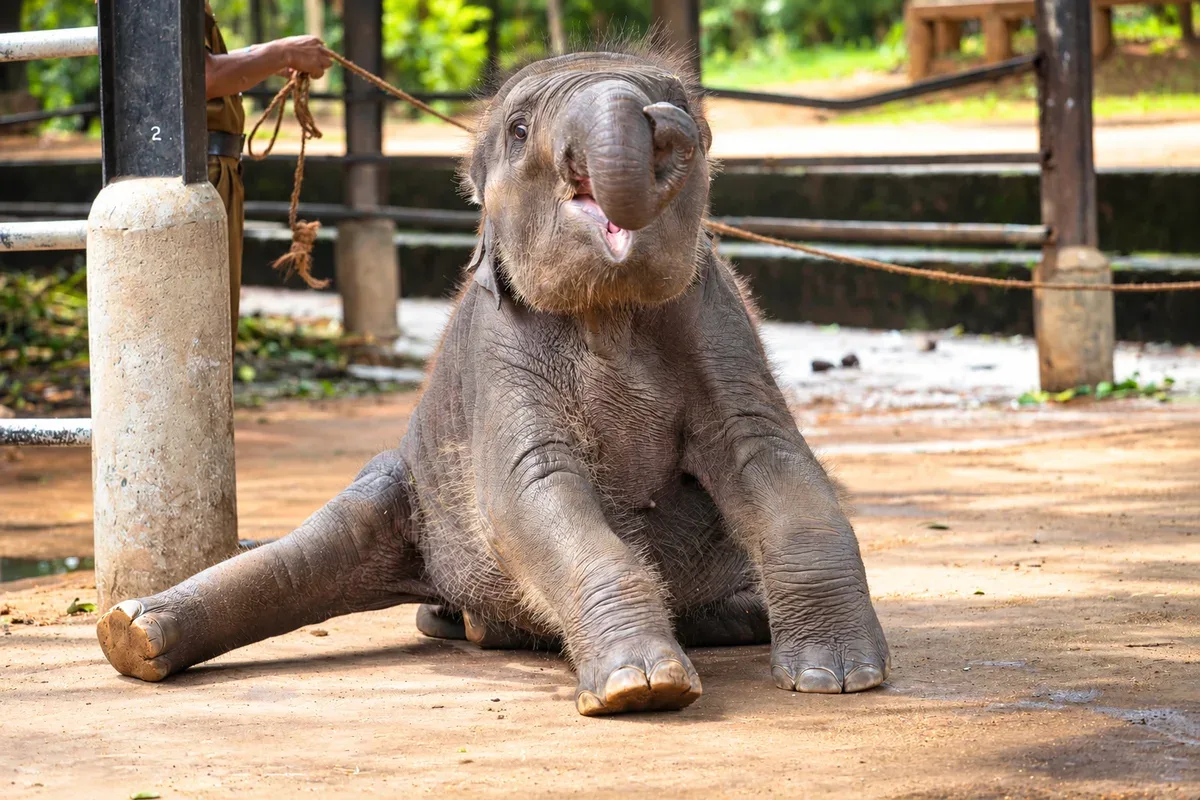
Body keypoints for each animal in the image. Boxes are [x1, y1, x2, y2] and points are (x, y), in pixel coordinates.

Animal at [97, 44, 890, 717]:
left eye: (686, 110)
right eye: (518, 129)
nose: (662, 119)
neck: (608, 311)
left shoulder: (715, 317)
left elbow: (766, 455)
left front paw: (840, 679)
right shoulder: (499, 349)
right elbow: (531, 488)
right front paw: (641, 688)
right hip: (403, 488)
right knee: (315, 551)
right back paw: (134, 634)